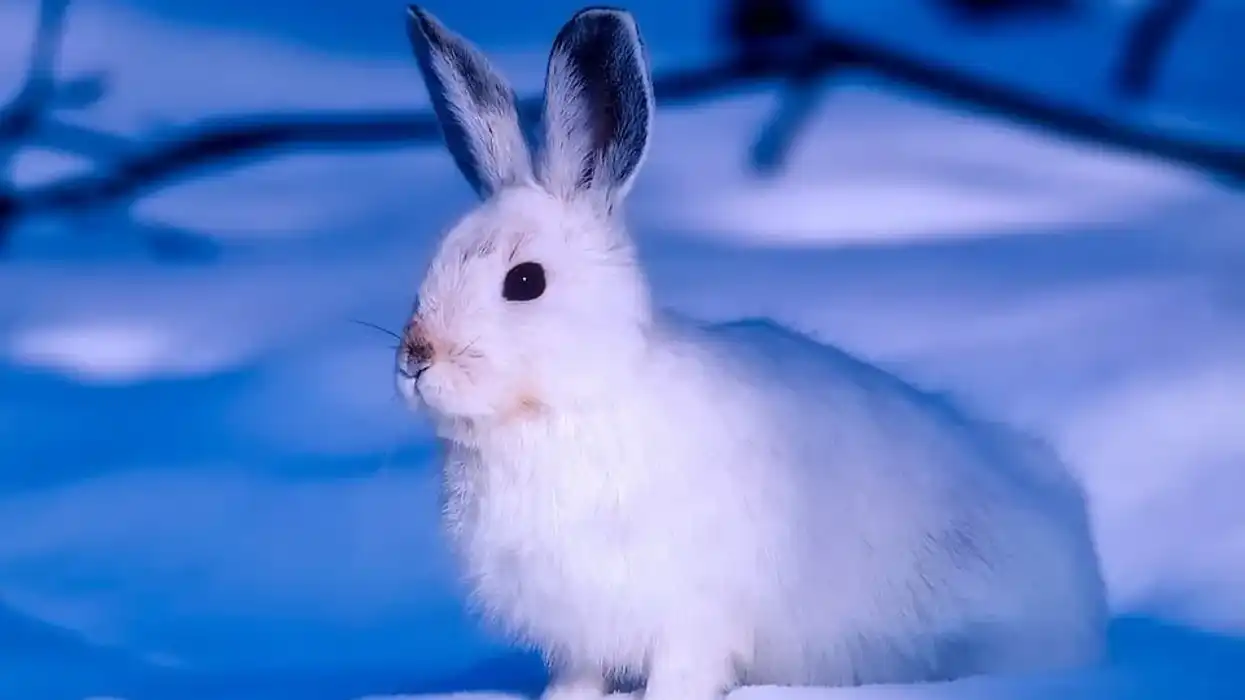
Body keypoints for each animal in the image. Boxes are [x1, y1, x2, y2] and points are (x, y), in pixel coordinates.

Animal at [397, 6, 1109, 700]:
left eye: (525, 282)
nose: (415, 359)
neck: (571, 402)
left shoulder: (691, 617)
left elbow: (682, 672)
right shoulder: (579, 635)